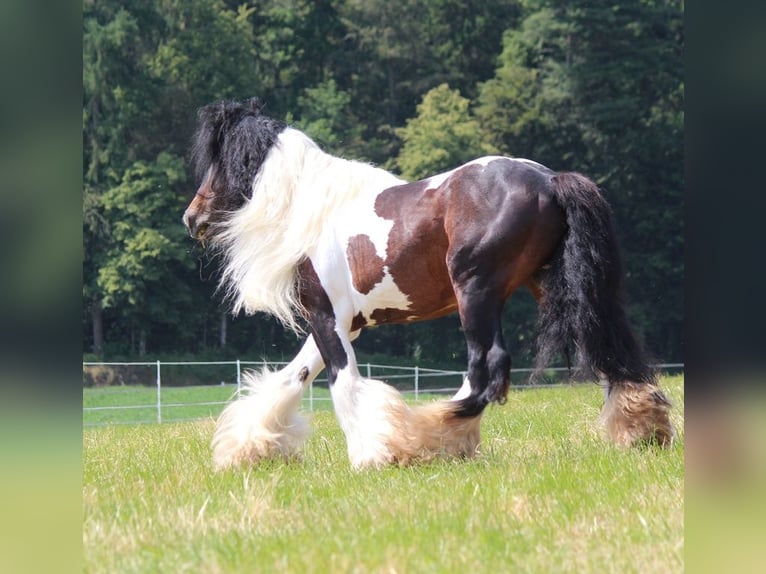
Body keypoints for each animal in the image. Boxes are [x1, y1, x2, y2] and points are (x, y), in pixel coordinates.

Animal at [183, 97, 676, 470]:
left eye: (221, 162)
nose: (192, 217)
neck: (314, 213)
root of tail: (550, 180)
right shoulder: (343, 323)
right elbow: (294, 377)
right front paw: (249, 447)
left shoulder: (327, 318)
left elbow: (342, 385)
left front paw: (372, 454)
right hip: (553, 287)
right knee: (608, 350)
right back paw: (642, 431)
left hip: (476, 291)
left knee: (487, 366)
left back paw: (431, 436)